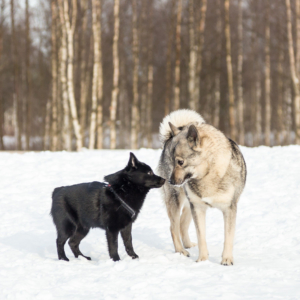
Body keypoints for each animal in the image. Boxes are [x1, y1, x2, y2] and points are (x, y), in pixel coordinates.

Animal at [157, 109, 246, 264]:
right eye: (172, 161)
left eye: (180, 162)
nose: (170, 181)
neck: (208, 174)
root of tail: (170, 136)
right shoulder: (198, 208)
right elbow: (201, 237)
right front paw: (202, 260)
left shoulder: (229, 209)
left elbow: (228, 237)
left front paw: (227, 259)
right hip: (178, 200)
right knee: (173, 227)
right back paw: (181, 251)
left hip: (188, 203)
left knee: (181, 224)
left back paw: (187, 245)